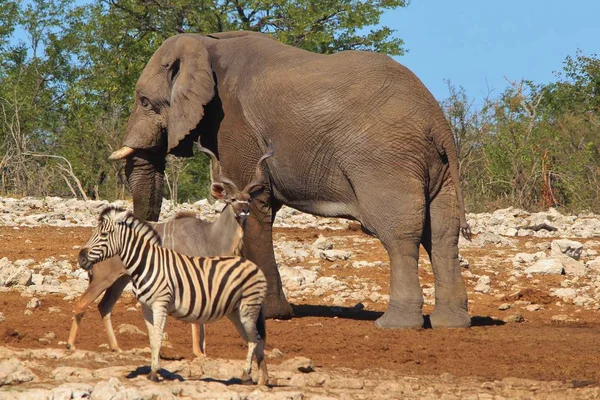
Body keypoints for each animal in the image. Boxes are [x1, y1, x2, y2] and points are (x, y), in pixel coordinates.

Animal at [78, 206, 270, 384]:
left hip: (248, 308)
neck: (147, 264)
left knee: (254, 339)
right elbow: (152, 339)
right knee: (255, 339)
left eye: (104, 234)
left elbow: (158, 337)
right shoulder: (146, 307)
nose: (81, 258)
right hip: (235, 312)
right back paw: (263, 379)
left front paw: (154, 373)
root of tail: (253, 265)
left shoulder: (160, 304)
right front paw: (154, 370)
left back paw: (247, 375)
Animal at [109, 28, 474, 328]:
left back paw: (395, 324)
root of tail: (437, 120)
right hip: (438, 168)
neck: (207, 43)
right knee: (442, 234)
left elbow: (255, 208)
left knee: (400, 234)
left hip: (385, 160)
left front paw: (266, 314)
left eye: (144, 101)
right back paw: (450, 323)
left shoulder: (235, 126)